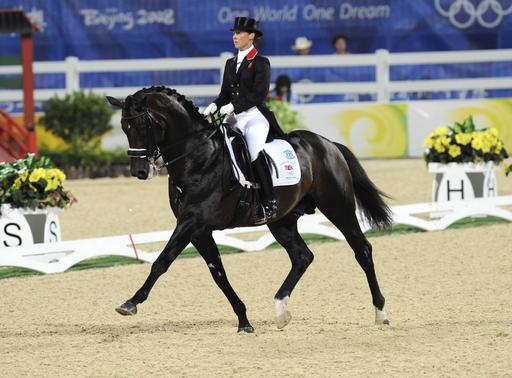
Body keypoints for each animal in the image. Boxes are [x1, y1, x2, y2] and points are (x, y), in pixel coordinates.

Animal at [105, 87, 392, 332]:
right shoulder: (199, 230)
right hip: (282, 220)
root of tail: (328, 144)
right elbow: (218, 273)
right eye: (124, 127)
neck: (197, 157)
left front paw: (130, 303)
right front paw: (244, 321)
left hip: (338, 207)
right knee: (303, 256)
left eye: (142, 124)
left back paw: (381, 314)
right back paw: (281, 311)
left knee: (362, 250)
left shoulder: (190, 222)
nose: (140, 171)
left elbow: (162, 261)